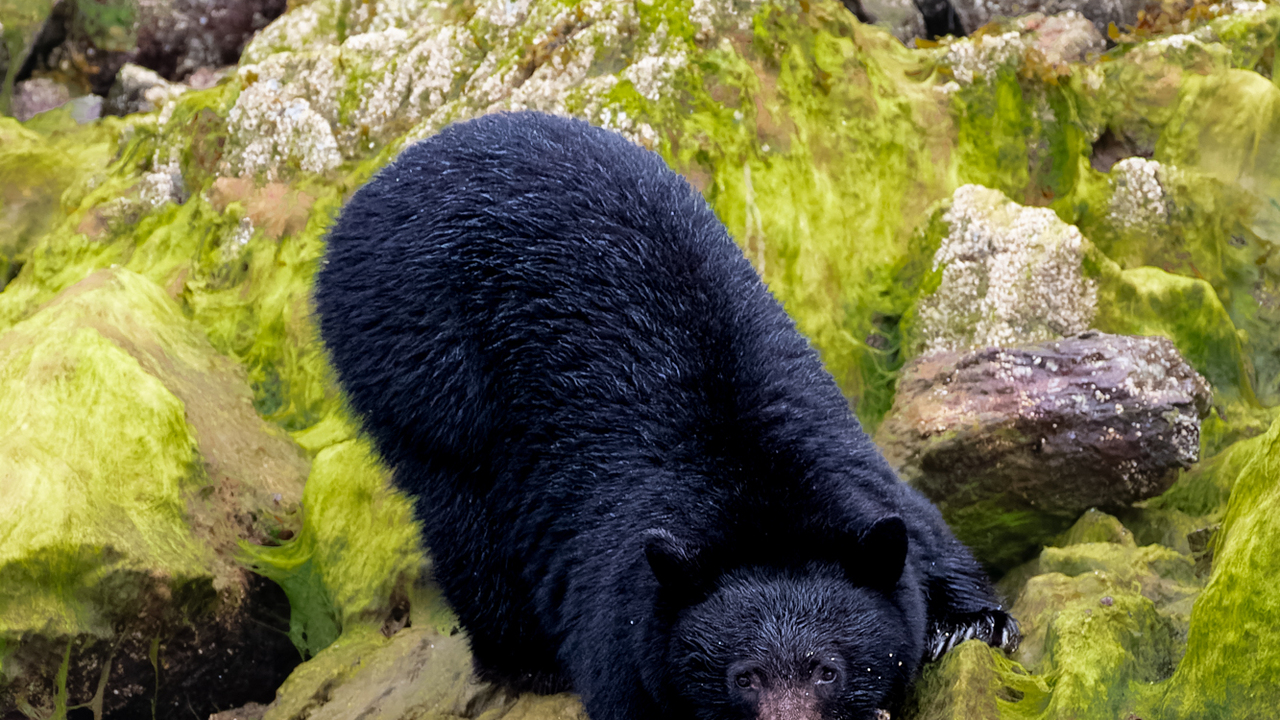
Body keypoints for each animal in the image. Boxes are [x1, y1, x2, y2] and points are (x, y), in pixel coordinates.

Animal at [314, 111, 1018, 720]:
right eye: (744, 677)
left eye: (828, 670)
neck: (756, 491)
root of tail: (381, 182)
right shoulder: (620, 596)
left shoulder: (857, 474)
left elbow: (925, 537)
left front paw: (969, 626)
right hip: (420, 361)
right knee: (462, 514)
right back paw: (523, 658)